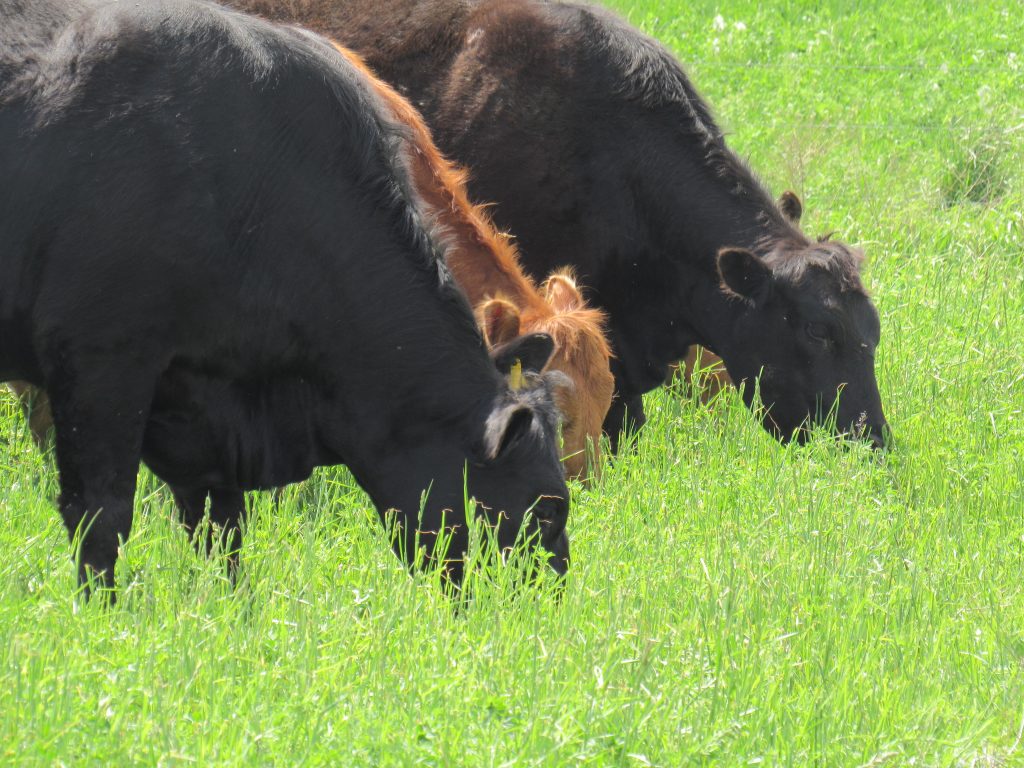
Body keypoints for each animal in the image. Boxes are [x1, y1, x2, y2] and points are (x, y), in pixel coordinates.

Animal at [0, 0, 569, 593]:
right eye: (549, 506)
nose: (552, 595)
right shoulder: (100, 360)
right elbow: (100, 514)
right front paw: (101, 608)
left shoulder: (194, 404)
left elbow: (219, 525)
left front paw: (229, 602)